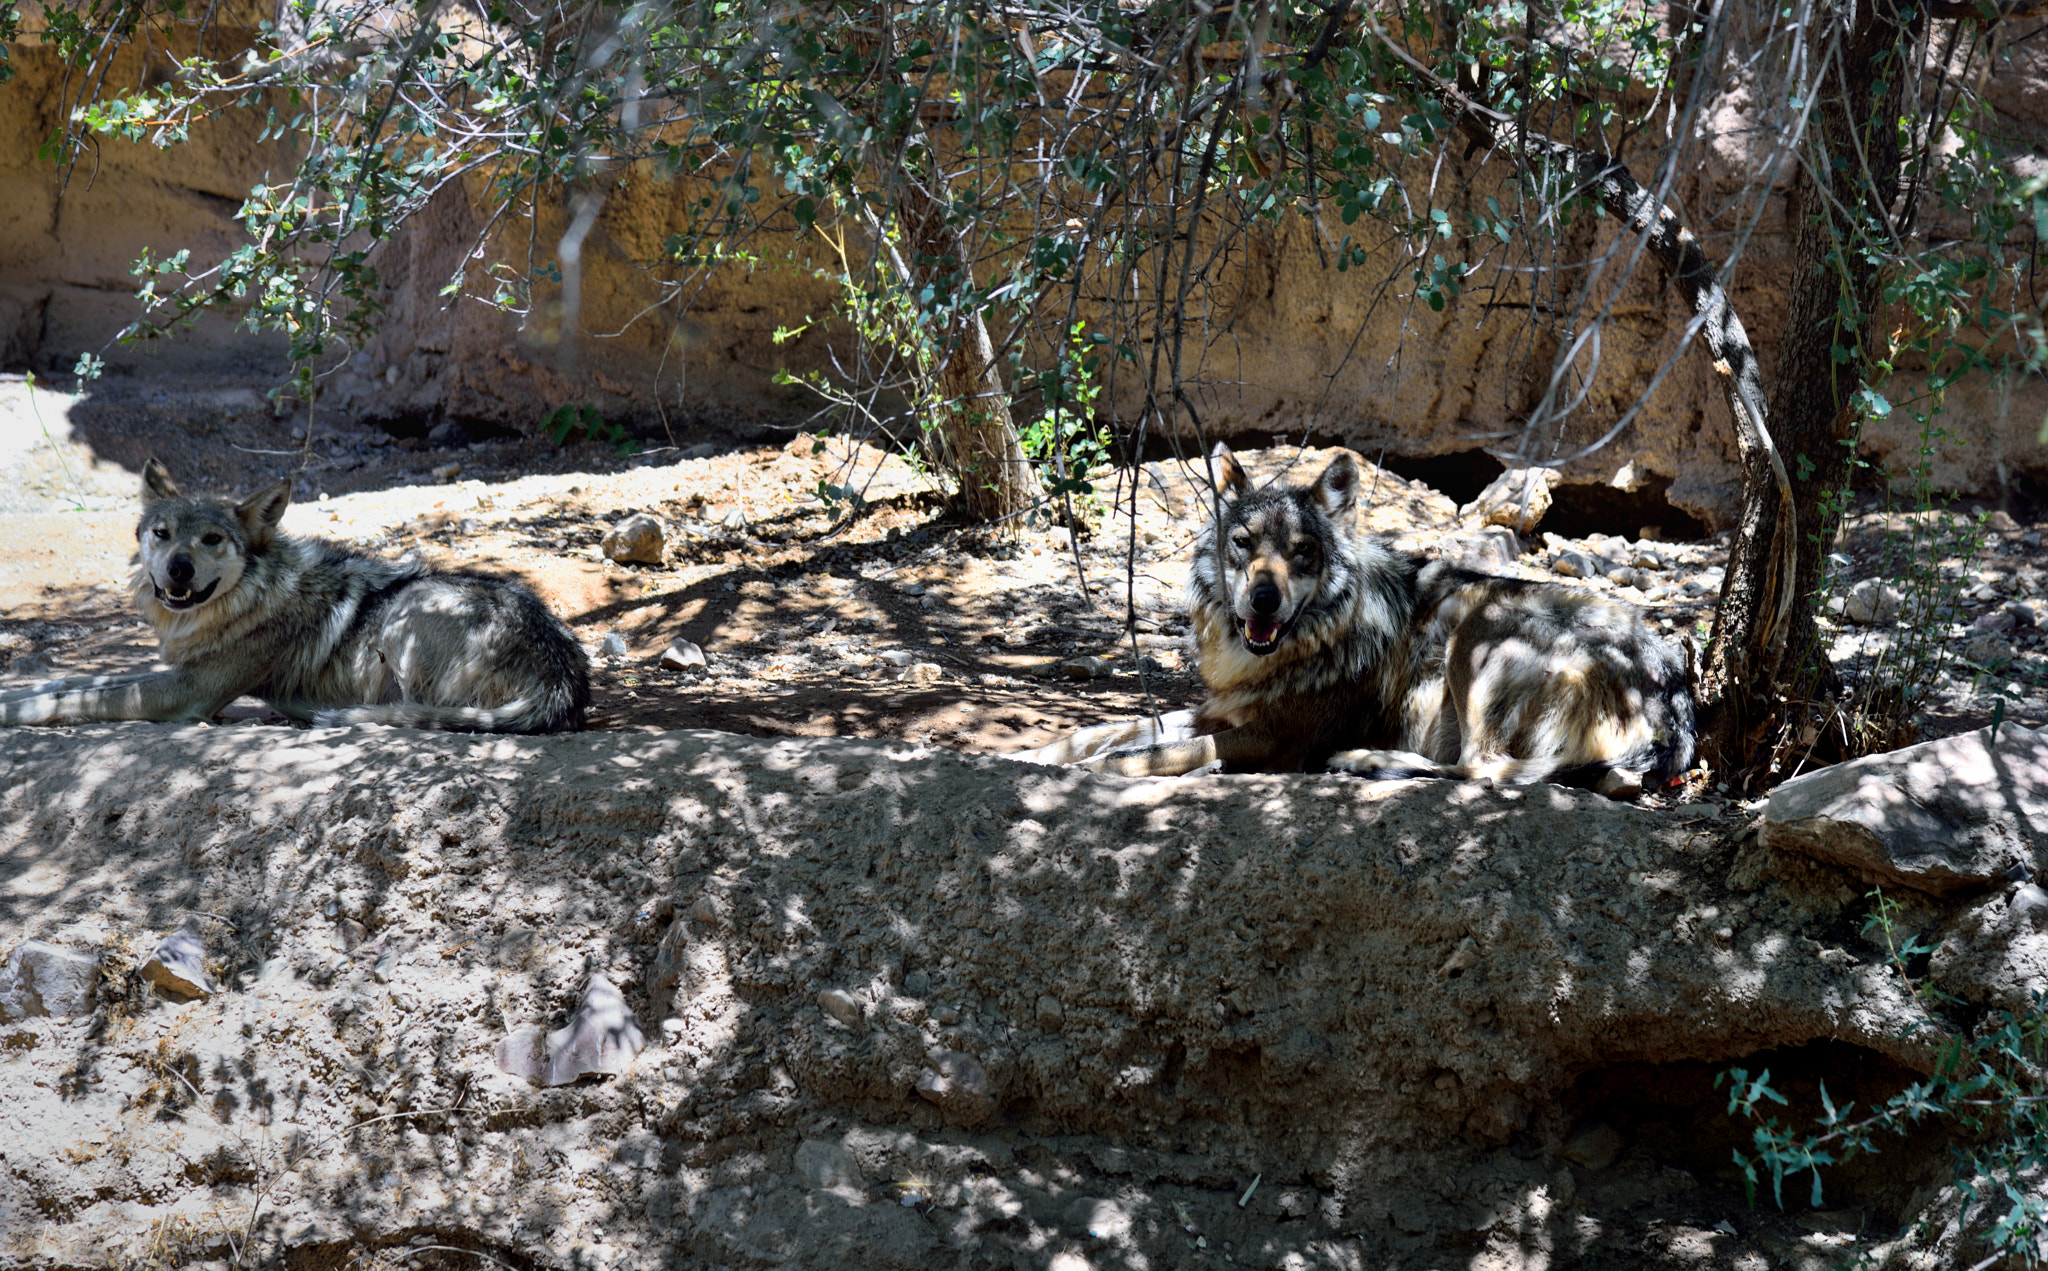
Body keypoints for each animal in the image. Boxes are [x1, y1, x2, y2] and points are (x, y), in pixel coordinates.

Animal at [0, 460, 591, 733]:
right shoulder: (177, 670)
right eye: (161, 534)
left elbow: (78, 698)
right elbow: (72, 682)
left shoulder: (190, 692)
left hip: (408, 608)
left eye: (212, 539)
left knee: (418, 710)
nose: (178, 569)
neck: (248, 599)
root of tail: (562, 675)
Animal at [1011, 444, 1695, 798]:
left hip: (1479, 627)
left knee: (1483, 767)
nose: (1264, 600)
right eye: (1243, 543)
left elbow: (1153, 754)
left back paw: (1364, 760)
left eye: (1302, 552)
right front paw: (1038, 756)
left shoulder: (1275, 735)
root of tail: (1675, 686)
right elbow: (1108, 731)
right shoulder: (1221, 710)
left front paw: (1099, 771)